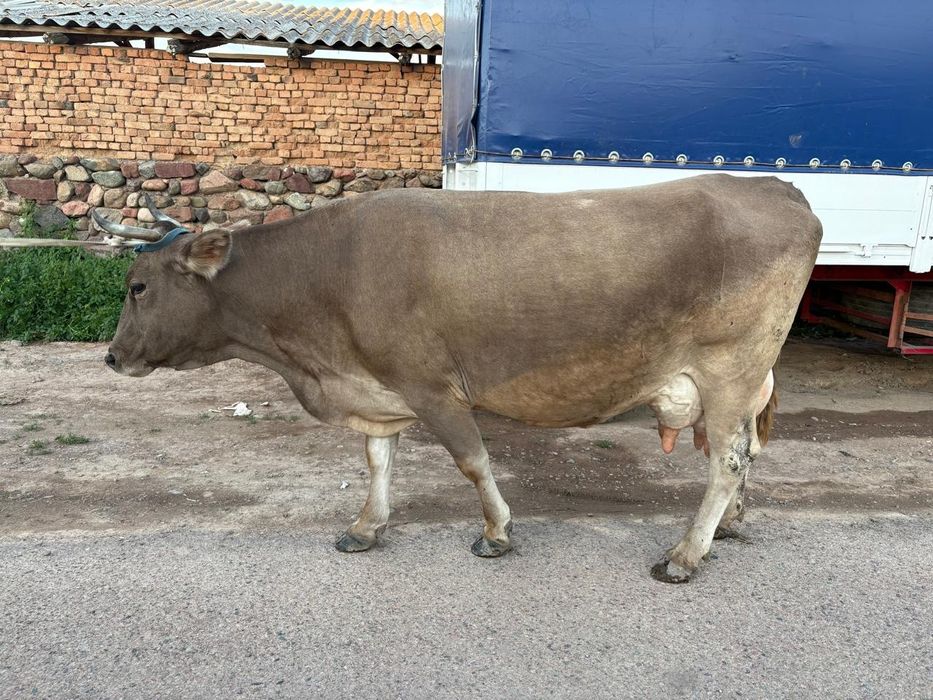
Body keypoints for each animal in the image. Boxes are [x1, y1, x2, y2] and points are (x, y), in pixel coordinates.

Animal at [96, 174, 822, 583]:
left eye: (137, 285)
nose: (111, 356)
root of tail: (773, 187)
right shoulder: (378, 387)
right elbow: (377, 460)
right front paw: (367, 526)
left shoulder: (431, 385)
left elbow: (472, 461)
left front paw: (497, 533)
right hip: (742, 378)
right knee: (746, 451)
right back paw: (728, 526)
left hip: (728, 368)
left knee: (727, 460)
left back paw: (685, 555)